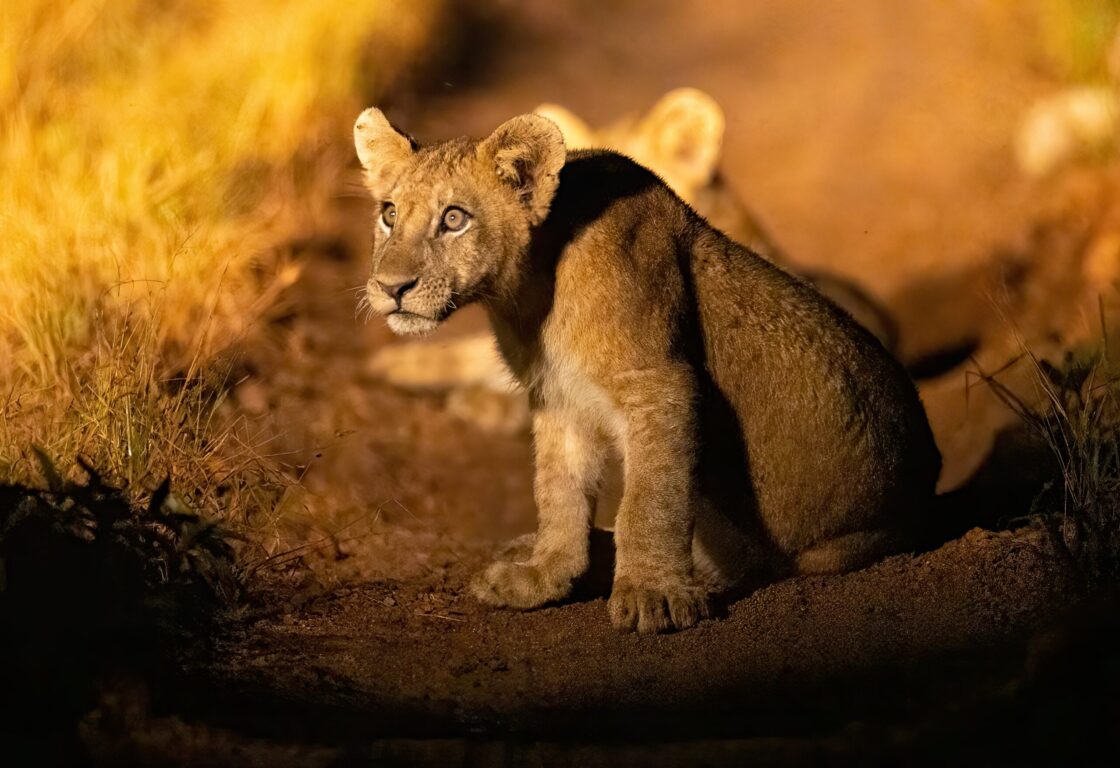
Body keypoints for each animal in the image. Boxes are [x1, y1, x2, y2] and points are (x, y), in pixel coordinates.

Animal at [353, 107, 942, 633]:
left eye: (454, 218)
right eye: (389, 214)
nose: (390, 287)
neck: (530, 294)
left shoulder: (660, 383)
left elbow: (650, 502)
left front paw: (651, 596)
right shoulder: (559, 397)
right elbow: (559, 493)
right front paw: (544, 576)